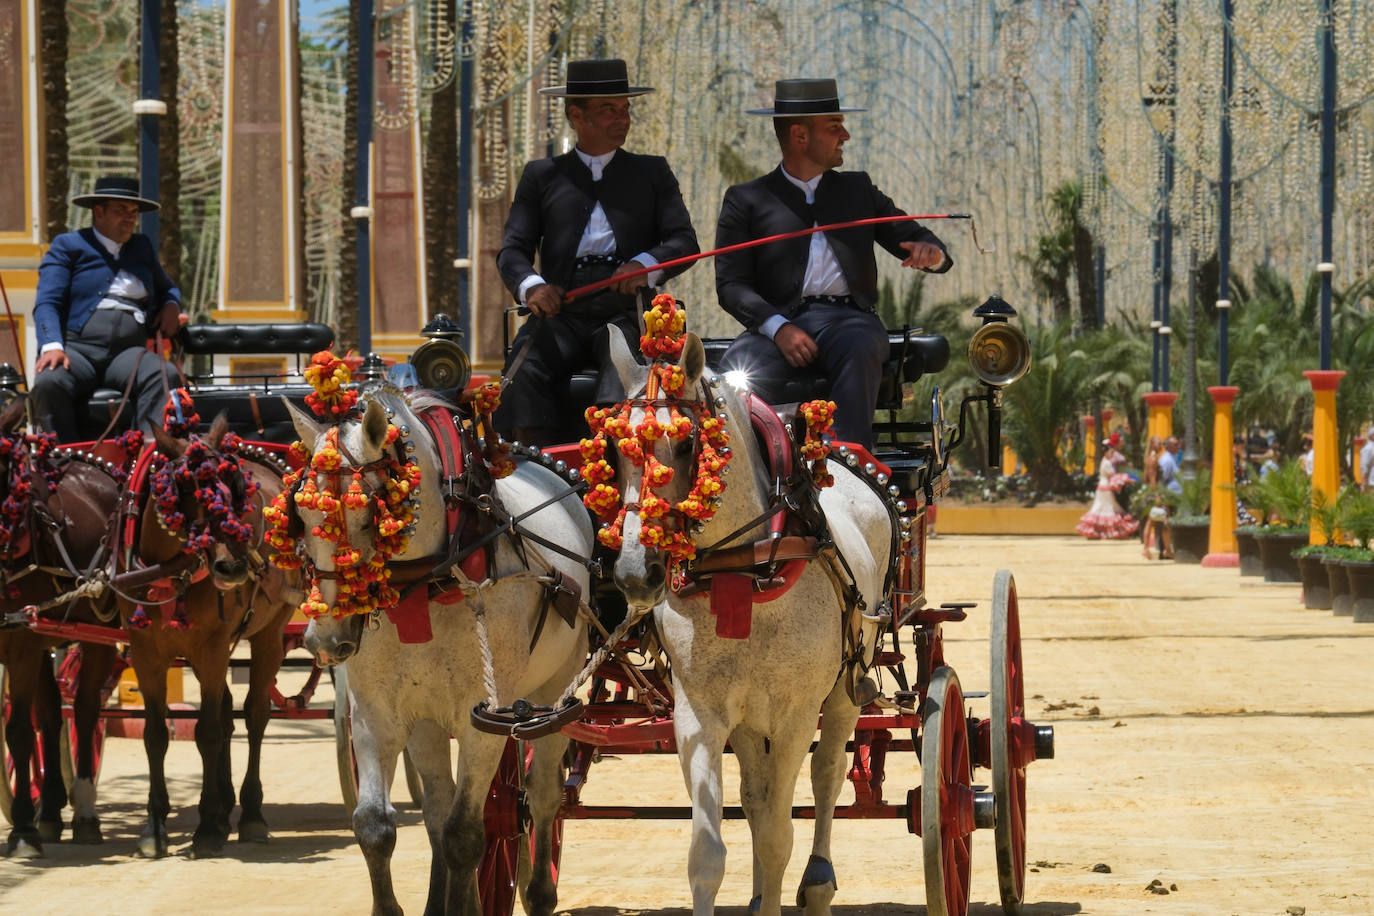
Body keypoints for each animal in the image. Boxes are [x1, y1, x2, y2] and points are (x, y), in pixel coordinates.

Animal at [0, 398, 123, 856]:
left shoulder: (20, 638)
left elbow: (18, 730)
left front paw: (21, 829)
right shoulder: (26, 635)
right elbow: (37, 721)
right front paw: (34, 818)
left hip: (95, 627)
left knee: (85, 710)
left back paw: (84, 812)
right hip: (47, 631)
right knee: (52, 715)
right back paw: (51, 810)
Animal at [118, 414, 300, 862]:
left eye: (234, 484)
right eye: (185, 489)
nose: (233, 566)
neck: (169, 572)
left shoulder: (212, 649)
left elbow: (208, 733)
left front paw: (205, 828)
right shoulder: (145, 654)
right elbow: (156, 735)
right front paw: (155, 827)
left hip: (269, 634)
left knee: (254, 716)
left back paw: (249, 813)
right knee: (228, 715)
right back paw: (224, 808)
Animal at [289, 387, 590, 916]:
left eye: (370, 516)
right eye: (302, 515)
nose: (323, 640)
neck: (429, 583)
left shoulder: (485, 723)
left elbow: (465, 835)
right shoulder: (376, 715)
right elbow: (375, 827)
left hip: (553, 696)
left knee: (542, 797)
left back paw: (538, 892)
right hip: (427, 719)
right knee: (435, 808)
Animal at [607, 330, 895, 916]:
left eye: (688, 445)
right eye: (615, 447)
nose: (634, 572)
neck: (744, 569)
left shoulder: (794, 716)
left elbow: (779, 837)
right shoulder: (700, 715)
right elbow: (709, 853)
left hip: (845, 690)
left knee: (827, 776)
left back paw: (818, 880)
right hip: (747, 721)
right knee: (757, 797)